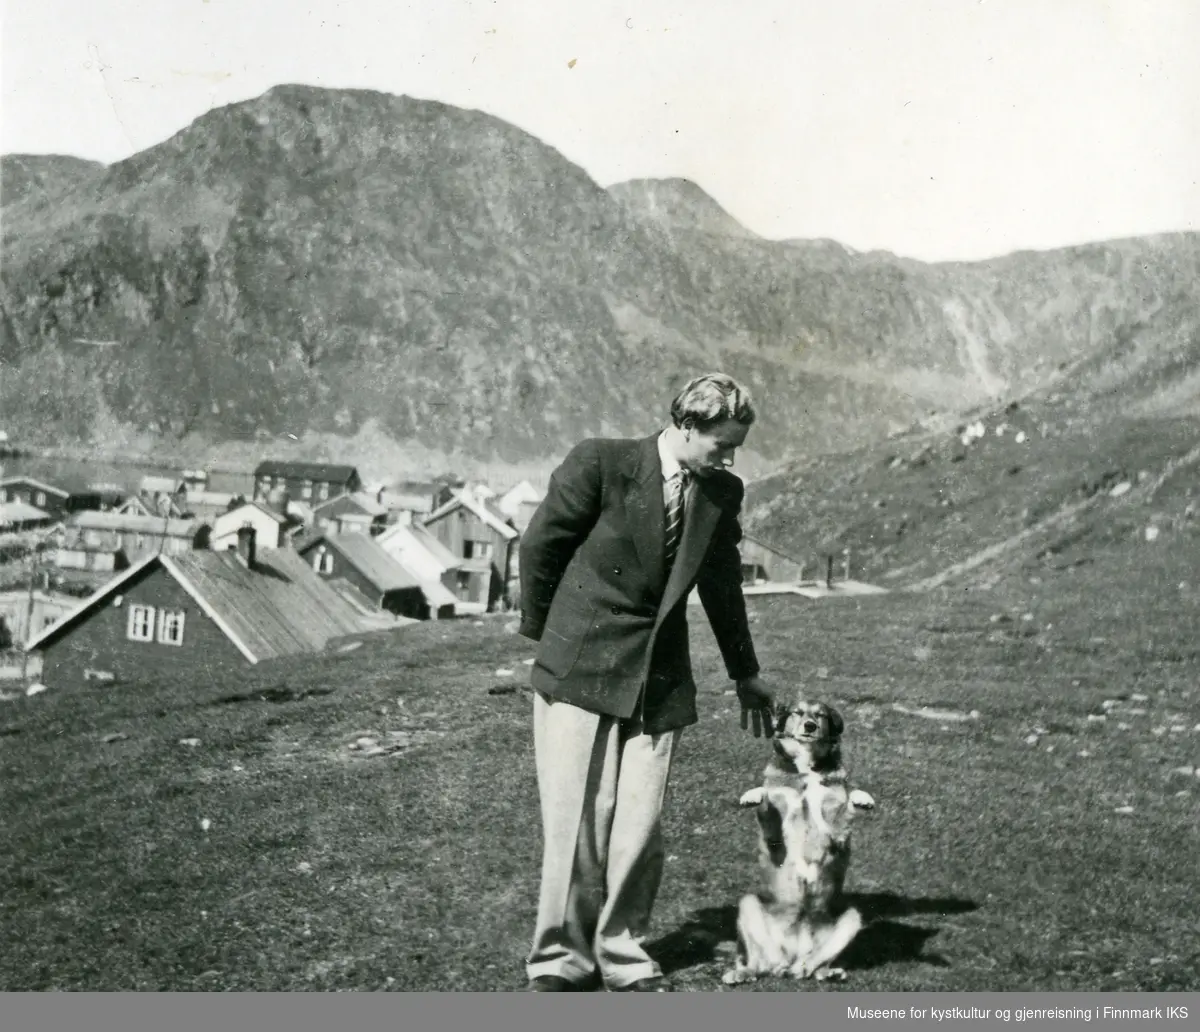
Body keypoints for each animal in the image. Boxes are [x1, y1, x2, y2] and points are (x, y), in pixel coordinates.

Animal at [715, 700, 878, 984]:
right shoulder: (773, 837)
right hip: (749, 905)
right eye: (797, 712)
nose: (809, 726)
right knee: (759, 965)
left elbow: (845, 804)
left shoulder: (837, 834)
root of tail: (791, 956)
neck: (806, 771)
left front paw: (861, 797)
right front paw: (754, 794)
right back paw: (743, 972)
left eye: (820, 715)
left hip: (851, 917)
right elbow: (767, 801)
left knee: (814, 965)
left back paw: (825, 971)